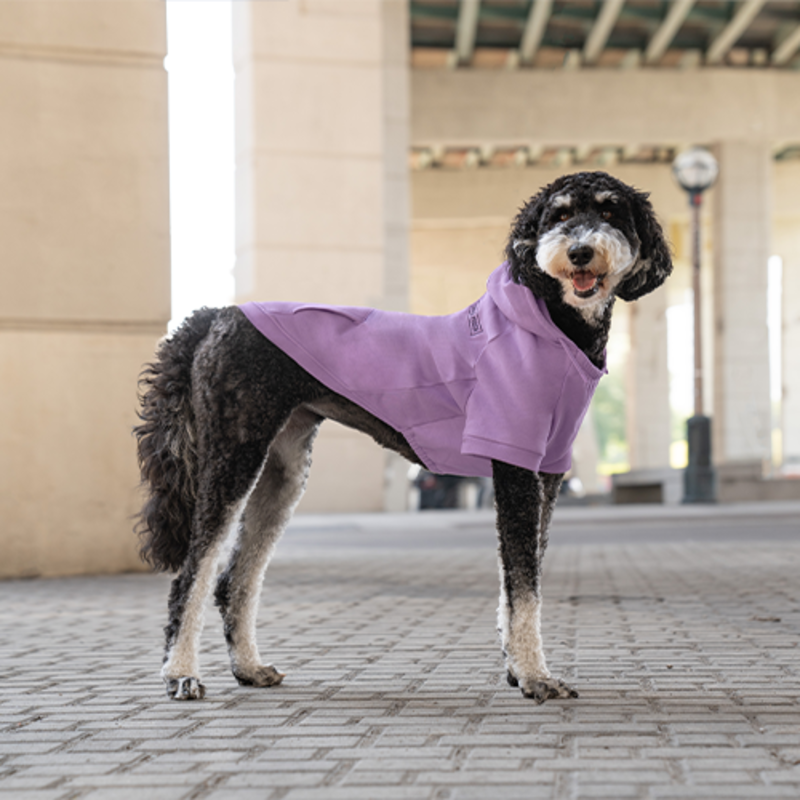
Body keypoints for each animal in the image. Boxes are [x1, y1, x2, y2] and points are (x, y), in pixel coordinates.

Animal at [134, 169, 672, 700]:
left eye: (609, 211)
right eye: (559, 216)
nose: (579, 251)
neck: (553, 324)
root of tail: (218, 314)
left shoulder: (548, 474)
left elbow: (522, 578)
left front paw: (518, 668)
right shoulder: (515, 468)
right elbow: (524, 586)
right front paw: (535, 676)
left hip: (283, 470)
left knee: (234, 579)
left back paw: (248, 667)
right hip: (234, 455)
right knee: (193, 572)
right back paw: (180, 673)